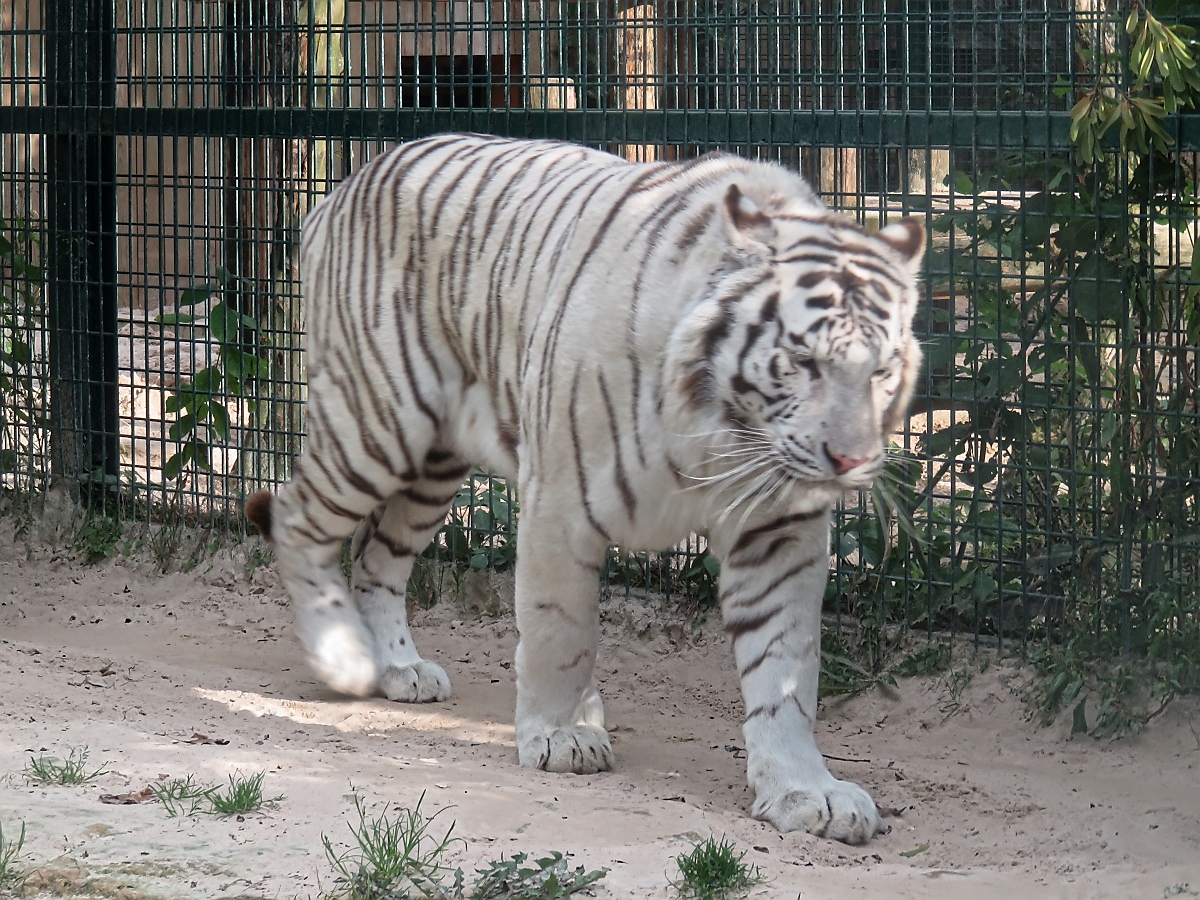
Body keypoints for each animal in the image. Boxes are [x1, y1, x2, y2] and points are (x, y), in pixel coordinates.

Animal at [241, 132, 916, 844]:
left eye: (883, 371)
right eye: (805, 361)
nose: (851, 460)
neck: (725, 433)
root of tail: (347, 185)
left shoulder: (779, 531)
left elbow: (786, 670)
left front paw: (805, 791)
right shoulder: (560, 502)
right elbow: (560, 633)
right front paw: (562, 737)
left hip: (434, 464)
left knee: (375, 558)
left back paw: (399, 669)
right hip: (376, 421)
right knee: (295, 517)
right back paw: (342, 657)